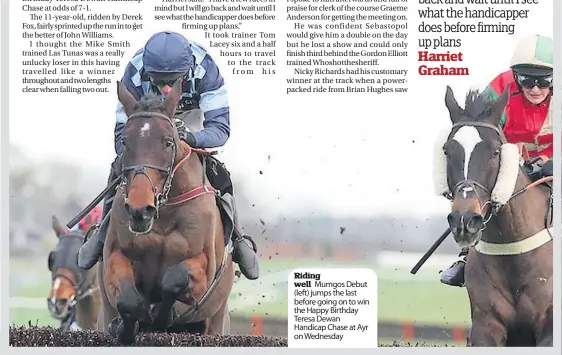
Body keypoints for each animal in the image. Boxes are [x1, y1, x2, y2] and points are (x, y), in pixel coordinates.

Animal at [97, 78, 233, 344]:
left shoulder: (205, 268)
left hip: (217, 322)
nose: (140, 209)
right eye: (125, 142)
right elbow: (128, 300)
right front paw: (127, 326)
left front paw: (159, 314)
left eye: (168, 142)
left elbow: (175, 279)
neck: (164, 213)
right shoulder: (115, 256)